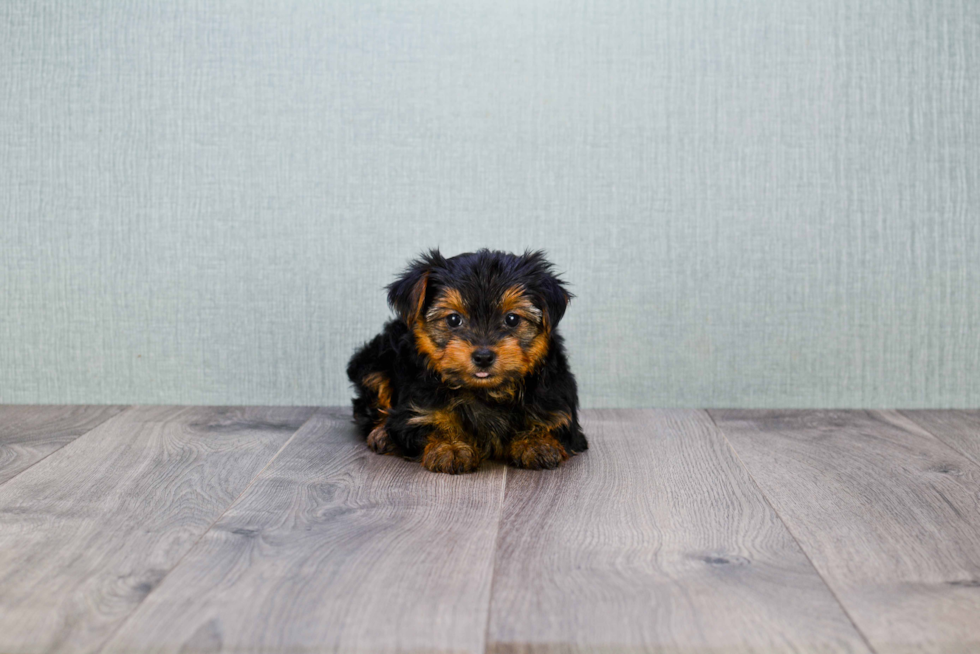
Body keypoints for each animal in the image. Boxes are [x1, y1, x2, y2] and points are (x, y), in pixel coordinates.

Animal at [346, 249, 584, 474]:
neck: (485, 391)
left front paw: (536, 443)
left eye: (512, 319)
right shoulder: (415, 411)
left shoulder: (556, 405)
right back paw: (381, 434)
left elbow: (552, 424)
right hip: (373, 365)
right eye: (453, 319)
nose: (483, 356)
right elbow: (430, 422)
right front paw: (450, 447)